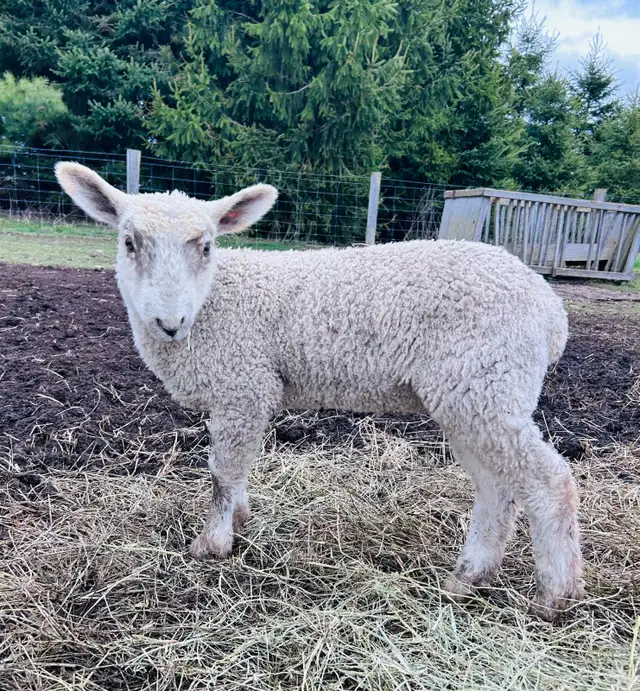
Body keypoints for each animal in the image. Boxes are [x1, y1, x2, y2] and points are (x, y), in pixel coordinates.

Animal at [55, 162, 584, 621]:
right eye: (129, 242)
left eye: (206, 247)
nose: (169, 322)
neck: (214, 303)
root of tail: (551, 310)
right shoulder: (241, 394)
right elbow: (237, 468)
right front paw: (240, 520)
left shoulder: (243, 383)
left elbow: (222, 472)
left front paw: (213, 545)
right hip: (471, 396)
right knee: (496, 488)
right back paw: (469, 577)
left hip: (488, 382)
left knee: (549, 481)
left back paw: (555, 596)